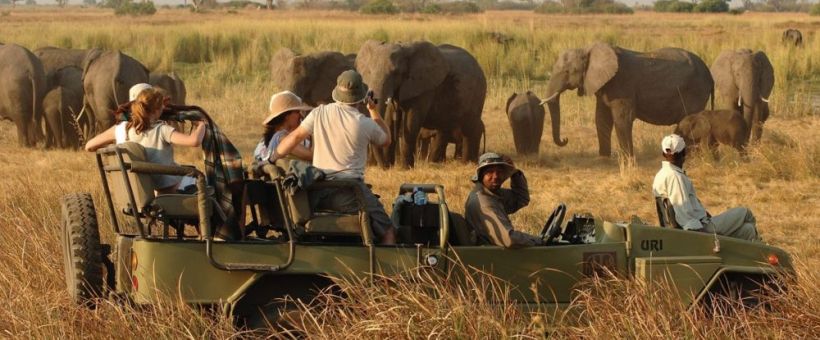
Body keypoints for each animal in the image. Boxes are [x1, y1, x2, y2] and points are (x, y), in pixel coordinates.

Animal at [354, 40, 484, 168]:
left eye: (396, 73)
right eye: (369, 72)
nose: (385, 166)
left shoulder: (423, 88)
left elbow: (411, 123)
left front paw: (405, 169)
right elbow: (389, 119)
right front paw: (390, 167)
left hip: (477, 94)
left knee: (470, 128)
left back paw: (469, 163)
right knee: (445, 129)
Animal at [544, 42, 712, 158]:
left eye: (568, 72)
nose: (565, 139)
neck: (588, 48)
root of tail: (710, 75)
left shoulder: (622, 85)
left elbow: (622, 119)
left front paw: (627, 160)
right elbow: (601, 118)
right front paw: (603, 158)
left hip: (695, 91)